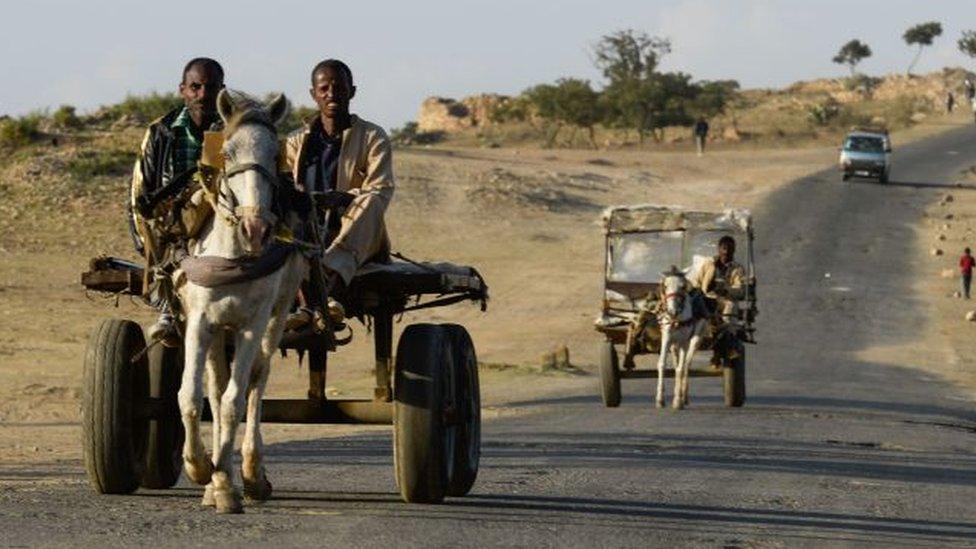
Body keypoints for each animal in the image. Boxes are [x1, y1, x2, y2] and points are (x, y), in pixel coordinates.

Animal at [174, 90, 304, 512]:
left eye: (274, 153)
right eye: (227, 152)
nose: (255, 228)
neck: (234, 257)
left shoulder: (252, 323)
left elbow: (236, 399)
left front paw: (227, 485)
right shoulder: (200, 320)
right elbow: (192, 397)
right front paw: (201, 469)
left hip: (277, 315)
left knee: (256, 381)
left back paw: (249, 473)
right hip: (219, 329)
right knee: (215, 389)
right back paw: (216, 480)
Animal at [660, 268, 704, 408]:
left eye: (683, 287)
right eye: (665, 286)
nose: (672, 311)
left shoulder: (685, 341)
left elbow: (681, 368)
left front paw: (677, 401)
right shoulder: (666, 337)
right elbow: (662, 364)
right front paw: (660, 399)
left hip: (696, 338)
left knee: (686, 365)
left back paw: (684, 397)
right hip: (675, 344)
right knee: (677, 363)